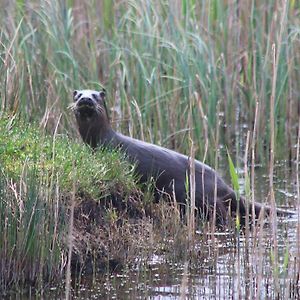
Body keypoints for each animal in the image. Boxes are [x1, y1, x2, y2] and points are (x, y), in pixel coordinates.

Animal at [70, 89, 288, 225]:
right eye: (78, 94)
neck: (104, 140)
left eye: (96, 96)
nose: (86, 100)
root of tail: (223, 184)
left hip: (193, 193)